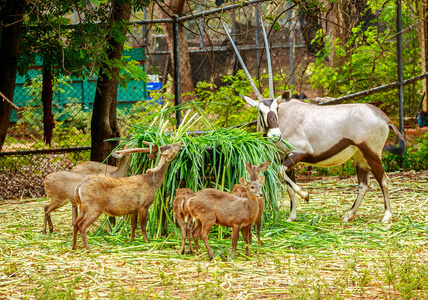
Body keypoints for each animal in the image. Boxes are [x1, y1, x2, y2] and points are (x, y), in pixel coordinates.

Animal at [222, 17, 406, 223]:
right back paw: (348, 215)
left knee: (383, 179)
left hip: (372, 153)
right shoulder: (285, 159)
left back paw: (386, 216)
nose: (277, 135)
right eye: (261, 111)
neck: (284, 119)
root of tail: (383, 116)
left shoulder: (299, 153)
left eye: (276, 109)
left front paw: (306, 195)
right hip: (360, 155)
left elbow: (281, 173)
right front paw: (292, 216)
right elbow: (287, 184)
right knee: (364, 184)